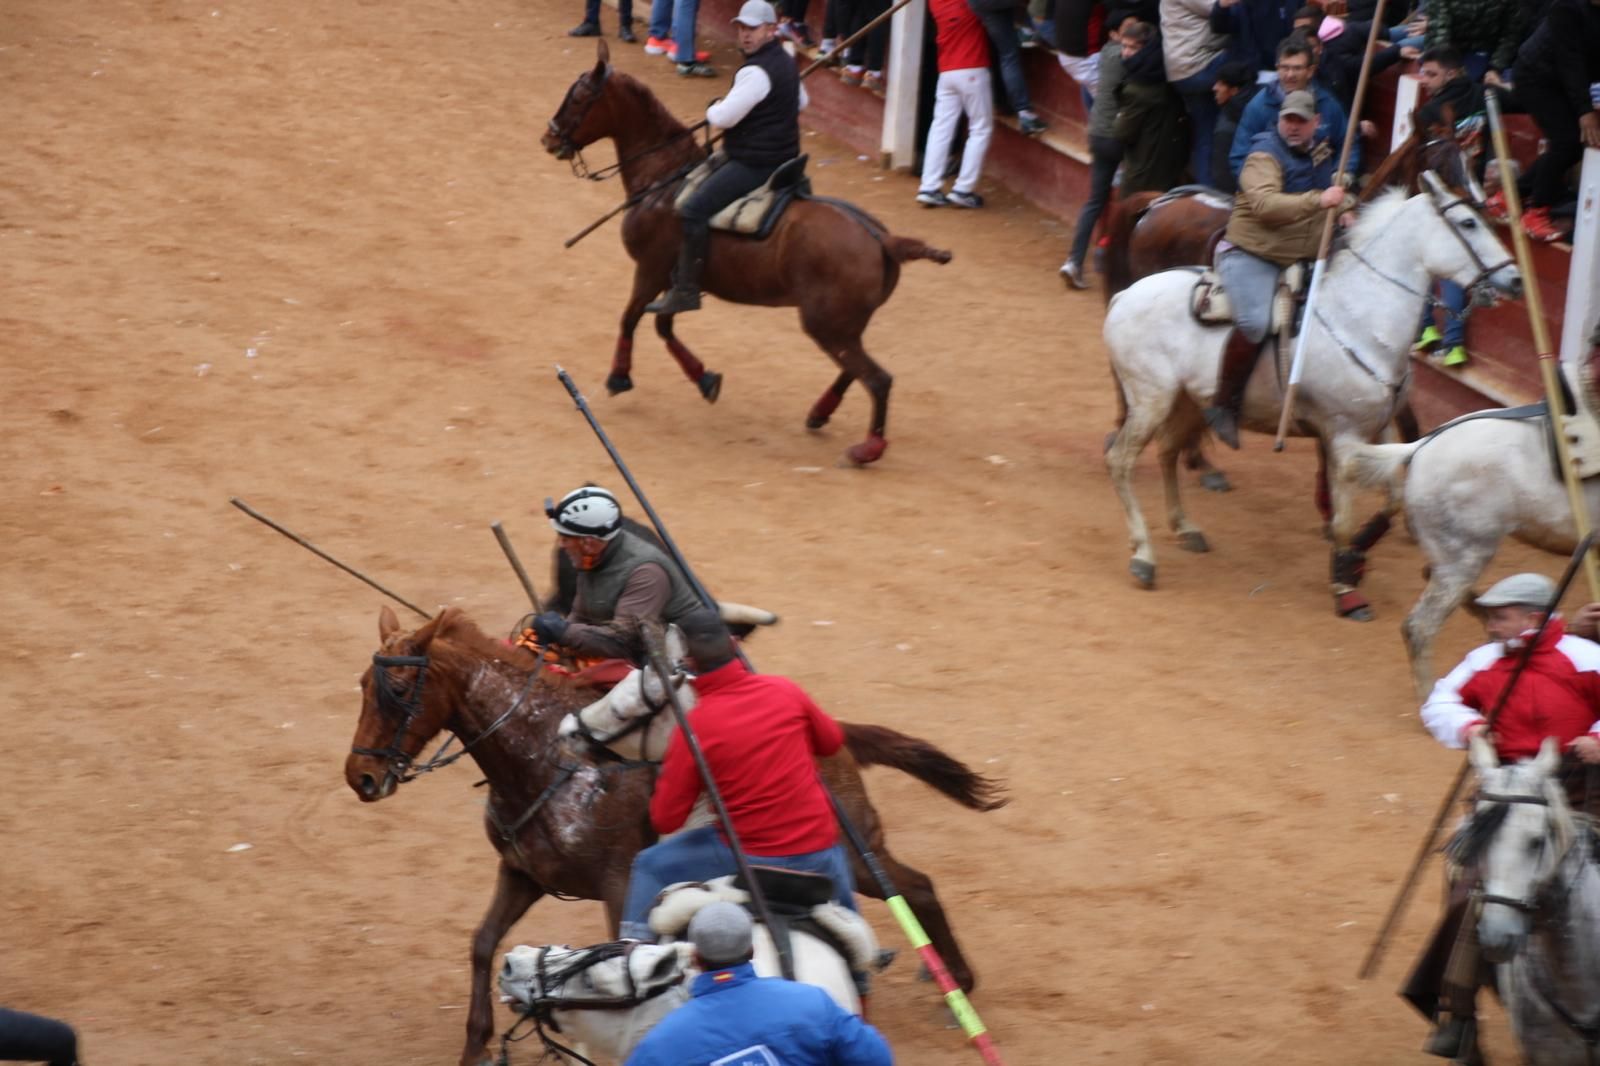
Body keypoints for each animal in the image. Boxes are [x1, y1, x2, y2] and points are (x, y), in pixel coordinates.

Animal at [345, 606, 1005, 1066]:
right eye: (362, 685)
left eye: (398, 691)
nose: (362, 777)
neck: (542, 755)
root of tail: (834, 732)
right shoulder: (522, 873)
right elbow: (483, 943)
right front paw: (476, 1043)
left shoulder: (618, 884)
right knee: (914, 886)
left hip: (849, 851)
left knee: (913, 888)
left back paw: (957, 990)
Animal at [541, 41, 952, 466]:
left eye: (579, 97)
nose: (549, 139)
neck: (664, 177)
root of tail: (884, 240)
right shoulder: (675, 282)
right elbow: (663, 326)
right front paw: (705, 378)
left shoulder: (650, 270)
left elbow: (631, 318)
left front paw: (619, 377)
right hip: (845, 324)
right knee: (855, 369)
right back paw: (820, 413)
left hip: (826, 324)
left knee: (877, 378)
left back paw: (867, 447)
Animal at [1102, 180, 1520, 614]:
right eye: (1468, 223)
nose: (1515, 279)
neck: (1361, 319)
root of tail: (1126, 295)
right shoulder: (1343, 436)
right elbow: (1344, 517)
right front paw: (1345, 586)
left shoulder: (1381, 426)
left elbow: (1391, 499)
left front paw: (1356, 557)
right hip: (1150, 400)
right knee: (1121, 461)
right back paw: (1144, 556)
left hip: (1188, 402)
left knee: (1168, 451)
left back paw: (1186, 527)